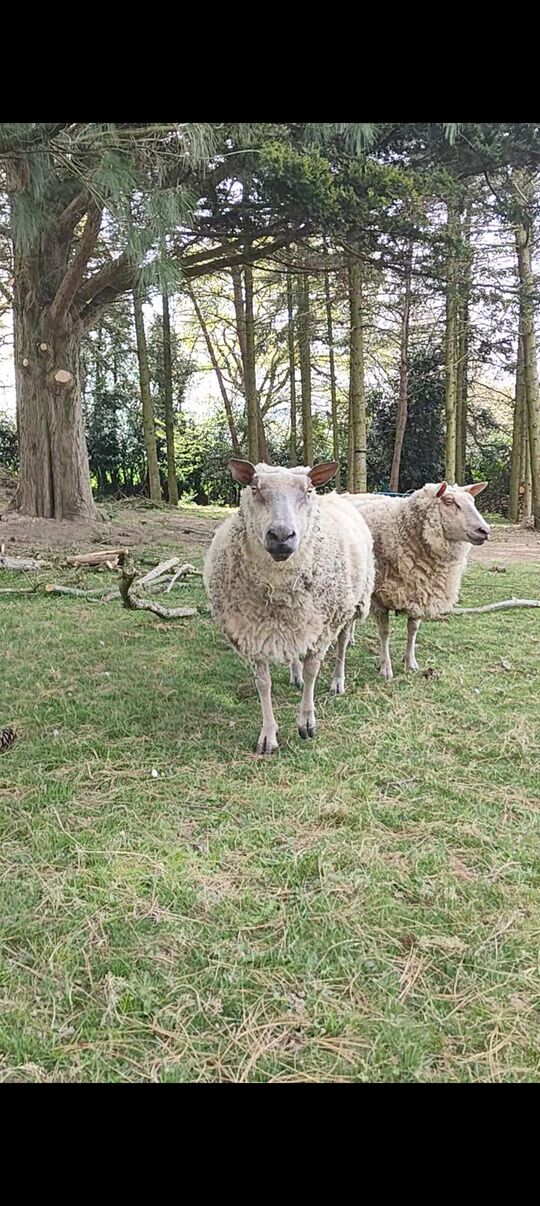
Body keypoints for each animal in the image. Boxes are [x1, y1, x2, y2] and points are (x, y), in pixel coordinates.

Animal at [203, 460, 374, 754]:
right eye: (254, 488)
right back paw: (295, 675)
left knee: (342, 644)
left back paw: (337, 681)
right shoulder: (251, 631)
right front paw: (268, 735)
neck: (279, 590)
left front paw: (306, 722)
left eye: (308, 490)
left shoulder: (323, 627)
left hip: (348, 606)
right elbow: (263, 683)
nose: (281, 535)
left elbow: (312, 670)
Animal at [343, 481, 489, 680]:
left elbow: (413, 630)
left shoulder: (420, 592)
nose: (485, 530)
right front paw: (385, 667)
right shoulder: (379, 598)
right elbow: (385, 632)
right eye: (449, 501)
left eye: (472, 501)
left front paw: (410, 662)